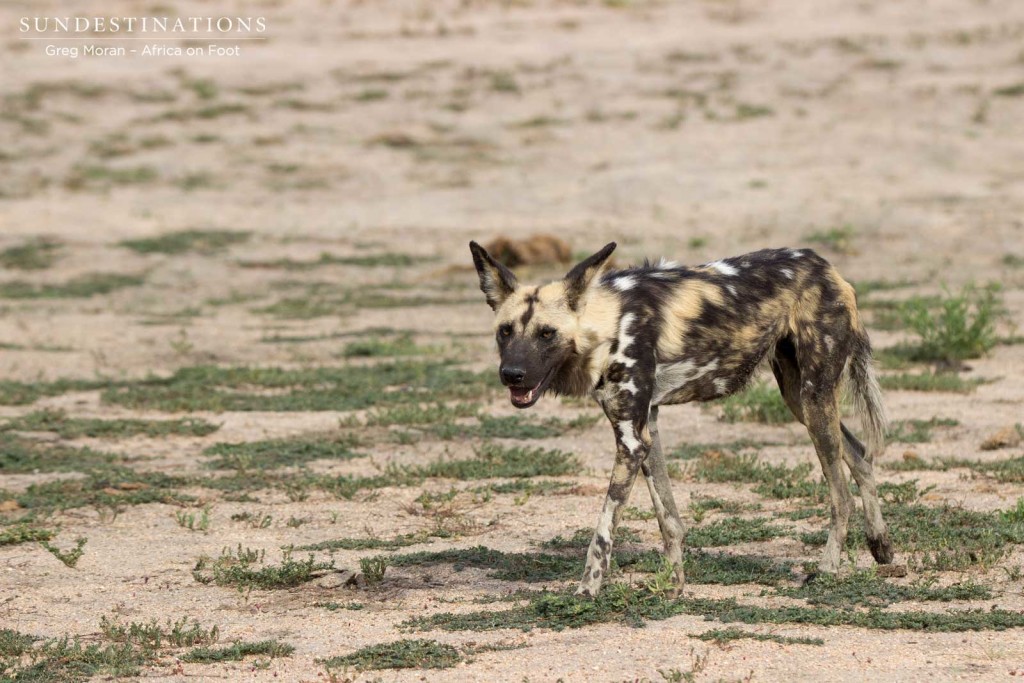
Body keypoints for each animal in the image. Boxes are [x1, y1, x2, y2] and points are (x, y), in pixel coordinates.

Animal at [468, 240, 892, 598]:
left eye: (546, 334)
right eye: (505, 332)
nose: (512, 374)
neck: (610, 322)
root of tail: (825, 266)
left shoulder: (630, 441)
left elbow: (603, 532)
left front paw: (587, 591)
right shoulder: (646, 431)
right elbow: (668, 519)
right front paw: (675, 586)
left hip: (814, 398)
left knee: (840, 496)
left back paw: (828, 569)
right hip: (800, 400)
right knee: (859, 455)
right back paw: (882, 546)